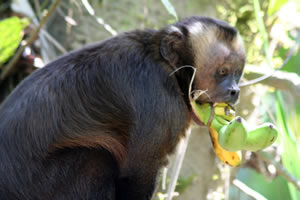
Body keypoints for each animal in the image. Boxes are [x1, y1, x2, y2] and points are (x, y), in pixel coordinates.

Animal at [0, 16, 244, 200]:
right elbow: (136, 173)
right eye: (223, 71)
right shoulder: (161, 99)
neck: (167, 68)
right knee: (96, 160)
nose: (235, 90)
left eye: (236, 73)